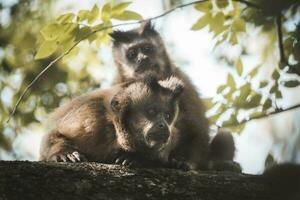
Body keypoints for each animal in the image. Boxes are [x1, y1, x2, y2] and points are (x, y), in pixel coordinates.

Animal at [110, 19, 241, 170]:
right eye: (132, 53)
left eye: (147, 48)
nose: (142, 58)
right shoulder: (118, 84)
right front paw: (131, 157)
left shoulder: (181, 80)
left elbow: (195, 125)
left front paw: (185, 162)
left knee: (222, 134)